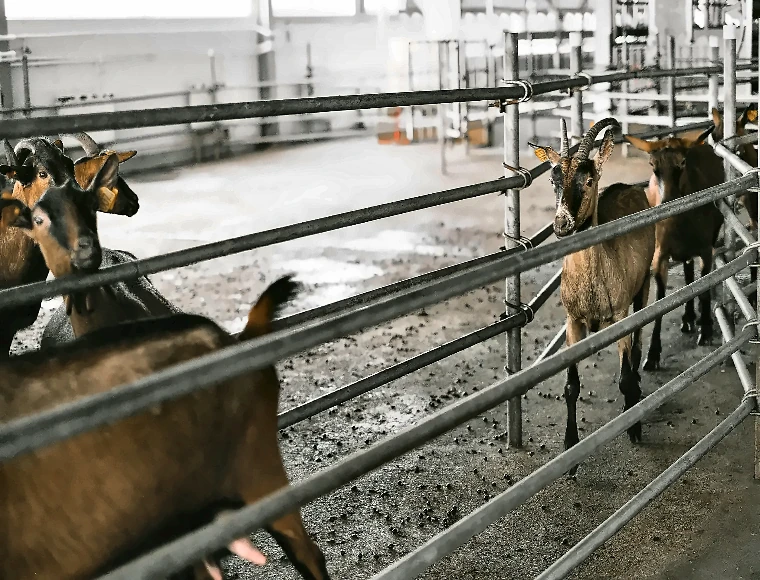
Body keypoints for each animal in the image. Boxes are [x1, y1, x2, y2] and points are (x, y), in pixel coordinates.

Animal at [531, 118, 655, 459]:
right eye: (553, 180)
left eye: (589, 180)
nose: (562, 224)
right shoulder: (573, 321)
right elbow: (571, 386)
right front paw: (569, 447)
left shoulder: (620, 314)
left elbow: (624, 378)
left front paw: (635, 427)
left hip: (643, 286)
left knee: (638, 342)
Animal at [625, 126, 724, 370]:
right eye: (653, 165)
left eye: (682, 163)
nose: (668, 201)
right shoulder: (659, 256)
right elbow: (661, 301)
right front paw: (652, 354)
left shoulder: (706, 250)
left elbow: (703, 288)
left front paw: (706, 330)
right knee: (688, 274)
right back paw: (688, 318)